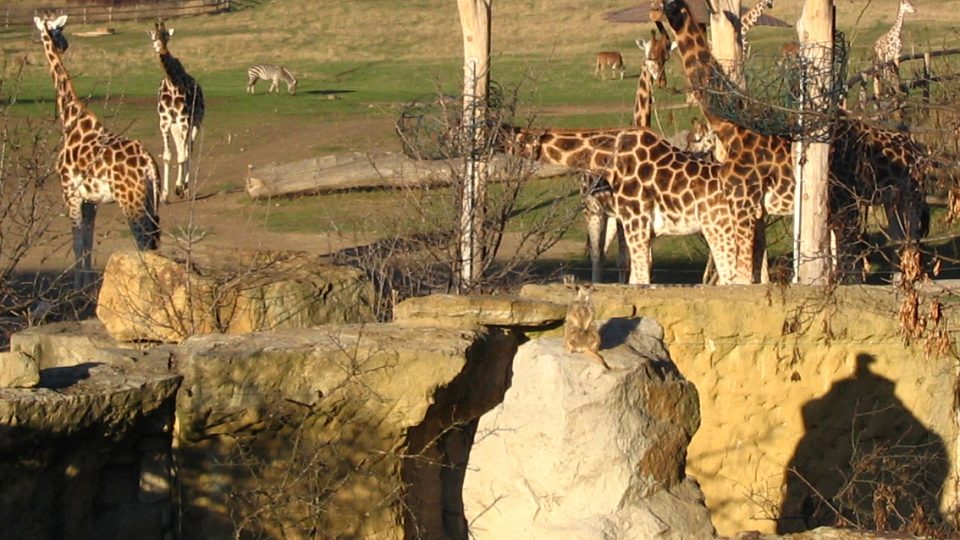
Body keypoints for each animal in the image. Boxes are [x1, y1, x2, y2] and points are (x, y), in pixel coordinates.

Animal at [33, 14, 160, 288]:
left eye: (59, 29)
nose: (65, 44)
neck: (70, 119)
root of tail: (148, 163)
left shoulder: (69, 192)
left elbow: (77, 241)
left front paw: (77, 288)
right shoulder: (91, 201)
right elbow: (88, 241)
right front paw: (87, 286)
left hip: (131, 200)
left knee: (144, 239)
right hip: (151, 198)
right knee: (155, 238)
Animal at [150, 20, 204, 202]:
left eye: (167, 36)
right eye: (154, 36)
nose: (160, 50)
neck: (172, 82)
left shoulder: (184, 120)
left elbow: (183, 156)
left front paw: (180, 188)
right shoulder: (165, 122)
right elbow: (168, 156)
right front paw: (165, 195)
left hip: (195, 122)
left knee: (189, 150)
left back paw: (185, 188)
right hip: (176, 127)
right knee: (181, 148)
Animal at [502, 125, 752, 286]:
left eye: (704, 139)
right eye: (694, 138)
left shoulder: (636, 222)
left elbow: (640, 273)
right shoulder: (633, 223)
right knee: (600, 256)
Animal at [648, 1, 928, 282]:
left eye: (670, 3)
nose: (652, 10)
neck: (730, 127)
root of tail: (920, 151)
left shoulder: (743, 205)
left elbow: (742, 274)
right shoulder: (755, 211)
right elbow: (756, 273)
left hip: (869, 199)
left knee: (874, 248)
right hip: (880, 200)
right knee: (891, 244)